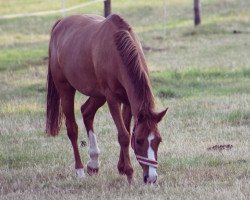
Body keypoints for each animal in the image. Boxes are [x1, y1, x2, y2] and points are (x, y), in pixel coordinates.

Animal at [46, 13, 168, 184]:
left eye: (158, 140)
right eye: (139, 141)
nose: (151, 178)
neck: (116, 49)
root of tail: (60, 23)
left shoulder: (127, 100)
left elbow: (126, 130)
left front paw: (122, 168)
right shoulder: (112, 99)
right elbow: (123, 136)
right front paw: (129, 173)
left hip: (98, 94)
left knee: (87, 113)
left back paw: (93, 163)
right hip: (66, 90)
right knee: (72, 129)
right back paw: (80, 170)